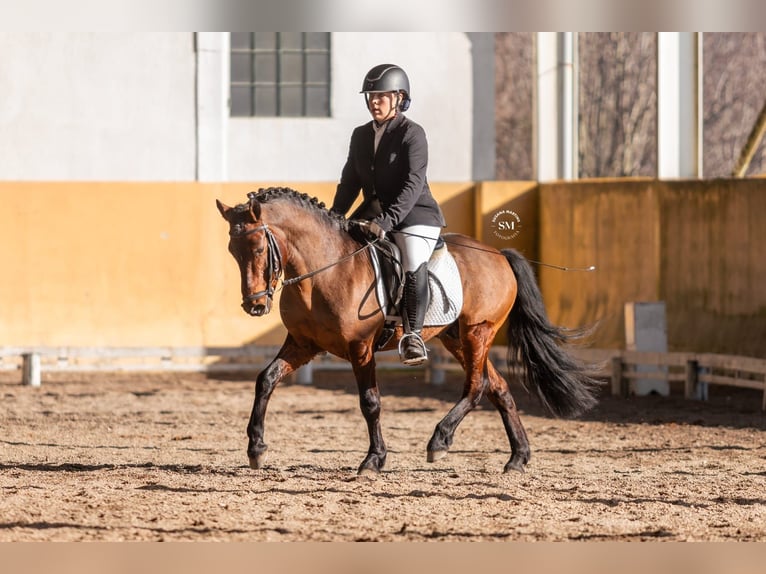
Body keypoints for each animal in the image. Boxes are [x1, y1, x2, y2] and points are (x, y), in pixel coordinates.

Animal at [216, 187, 600, 475]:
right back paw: (518, 457)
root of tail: (500, 254)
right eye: (232, 251)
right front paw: (256, 448)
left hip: (478, 332)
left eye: (259, 248)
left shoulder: (360, 348)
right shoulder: (303, 344)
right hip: (455, 337)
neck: (325, 270)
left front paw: (374, 460)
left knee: (477, 386)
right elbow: (265, 380)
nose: (254, 306)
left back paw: (440, 441)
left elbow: (370, 402)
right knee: (499, 388)